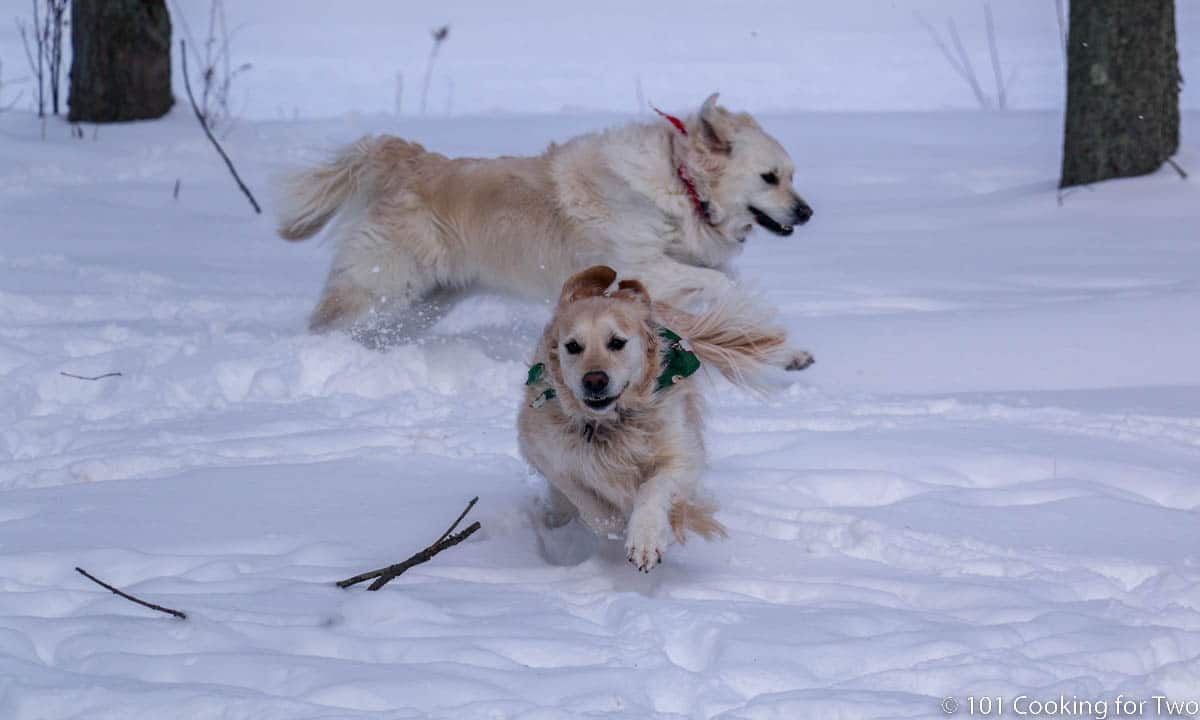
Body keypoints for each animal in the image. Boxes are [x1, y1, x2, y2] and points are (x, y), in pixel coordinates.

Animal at [276, 93, 811, 364]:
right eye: (770, 177)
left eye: (792, 175)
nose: (805, 213)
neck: (680, 182)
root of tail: (405, 159)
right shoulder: (643, 267)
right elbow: (719, 285)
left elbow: (730, 305)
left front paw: (787, 353)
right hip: (381, 284)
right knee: (328, 320)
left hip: (424, 302)